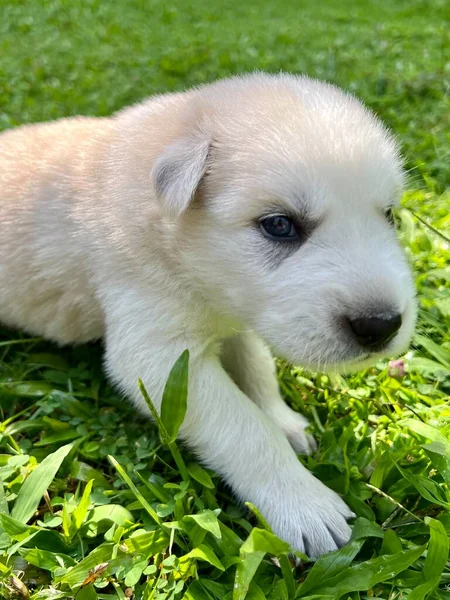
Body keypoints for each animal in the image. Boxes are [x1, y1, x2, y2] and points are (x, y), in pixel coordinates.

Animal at [0, 74, 416, 556]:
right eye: (279, 225)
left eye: (388, 214)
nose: (381, 325)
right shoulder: (159, 354)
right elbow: (246, 429)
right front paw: (304, 503)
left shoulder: (239, 315)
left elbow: (257, 372)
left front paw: (285, 421)